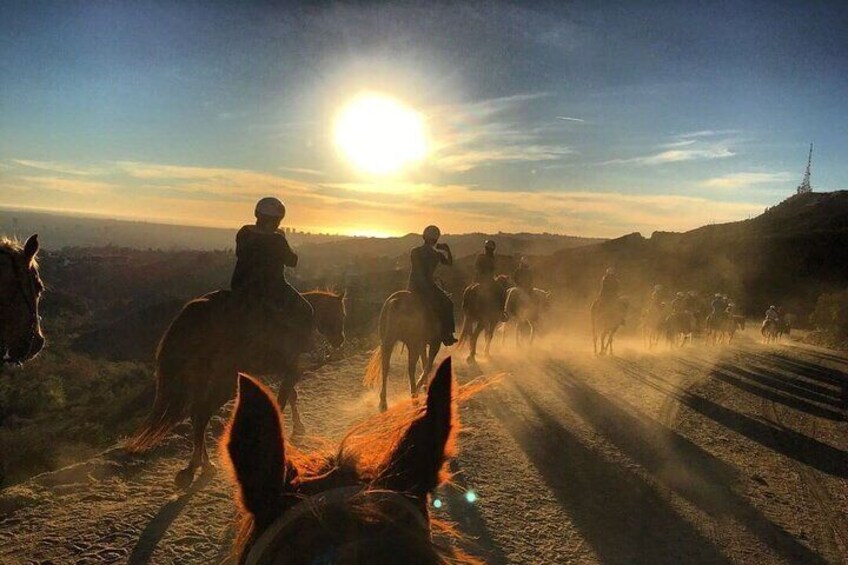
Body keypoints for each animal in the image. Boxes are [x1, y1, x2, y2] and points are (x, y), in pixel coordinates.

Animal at [127, 288, 346, 486]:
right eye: (341, 314)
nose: (340, 341)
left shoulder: (285, 370)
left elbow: (291, 395)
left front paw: (298, 427)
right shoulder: (293, 368)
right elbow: (283, 399)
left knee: (197, 415)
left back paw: (204, 464)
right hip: (225, 383)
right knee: (202, 414)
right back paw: (194, 467)